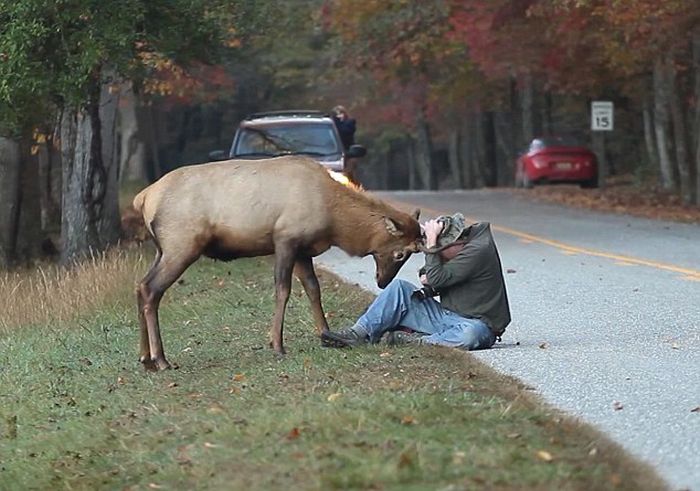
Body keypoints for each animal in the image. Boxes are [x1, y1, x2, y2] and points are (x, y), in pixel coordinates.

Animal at [134, 156, 424, 370]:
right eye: (401, 253)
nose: (383, 282)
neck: (334, 221)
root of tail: (144, 198)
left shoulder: (303, 250)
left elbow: (313, 289)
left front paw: (326, 335)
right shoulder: (285, 239)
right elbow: (283, 290)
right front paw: (277, 345)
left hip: (163, 249)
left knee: (140, 286)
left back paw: (145, 358)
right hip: (181, 245)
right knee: (151, 290)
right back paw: (161, 359)